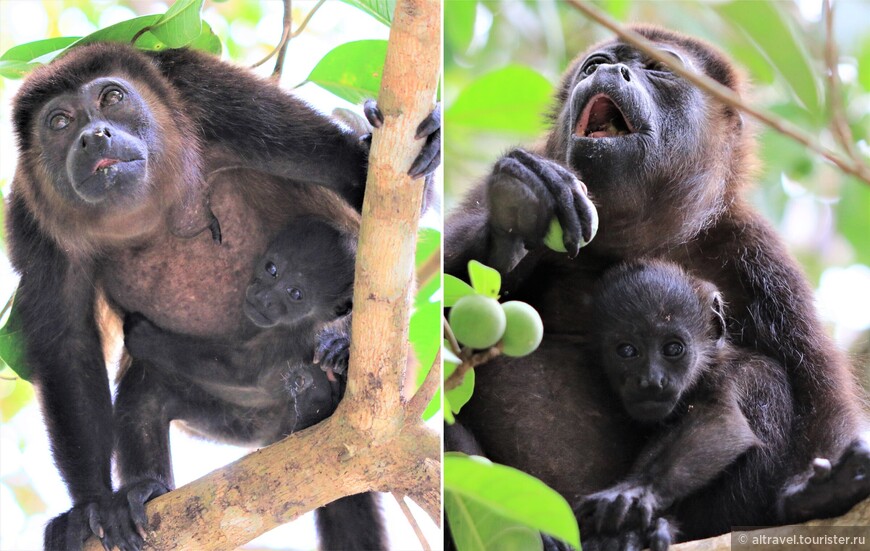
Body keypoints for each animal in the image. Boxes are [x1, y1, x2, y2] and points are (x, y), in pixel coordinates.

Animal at [9, 42, 440, 551]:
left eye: (112, 97)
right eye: (59, 122)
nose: (94, 136)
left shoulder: (217, 98)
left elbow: (354, 176)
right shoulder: (30, 216)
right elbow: (68, 347)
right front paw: (89, 505)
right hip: (231, 422)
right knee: (146, 392)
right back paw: (144, 491)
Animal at [584, 260, 792, 548]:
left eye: (673, 349)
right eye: (626, 351)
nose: (651, 380)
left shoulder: (737, 375)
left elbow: (724, 423)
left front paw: (640, 492)